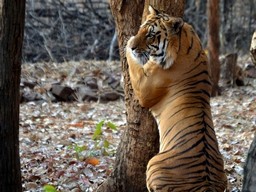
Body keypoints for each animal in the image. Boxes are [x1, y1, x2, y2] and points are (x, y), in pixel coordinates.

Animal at [125, 5, 227, 191]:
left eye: (150, 35)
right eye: (141, 29)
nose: (134, 47)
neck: (185, 41)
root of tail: (206, 186)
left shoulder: (144, 87)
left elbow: (133, 64)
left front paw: (128, 44)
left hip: (153, 164)